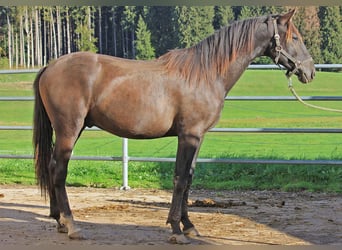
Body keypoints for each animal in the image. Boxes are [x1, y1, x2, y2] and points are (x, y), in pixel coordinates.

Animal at [32, 10, 316, 244]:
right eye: (295, 36)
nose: (310, 72)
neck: (206, 73)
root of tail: (50, 66)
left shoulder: (198, 137)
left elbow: (189, 178)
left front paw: (189, 226)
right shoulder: (188, 136)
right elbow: (179, 179)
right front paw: (177, 231)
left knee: (52, 167)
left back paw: (59, 221)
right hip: (69, 130)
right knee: (59, 172)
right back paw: (72, 226)